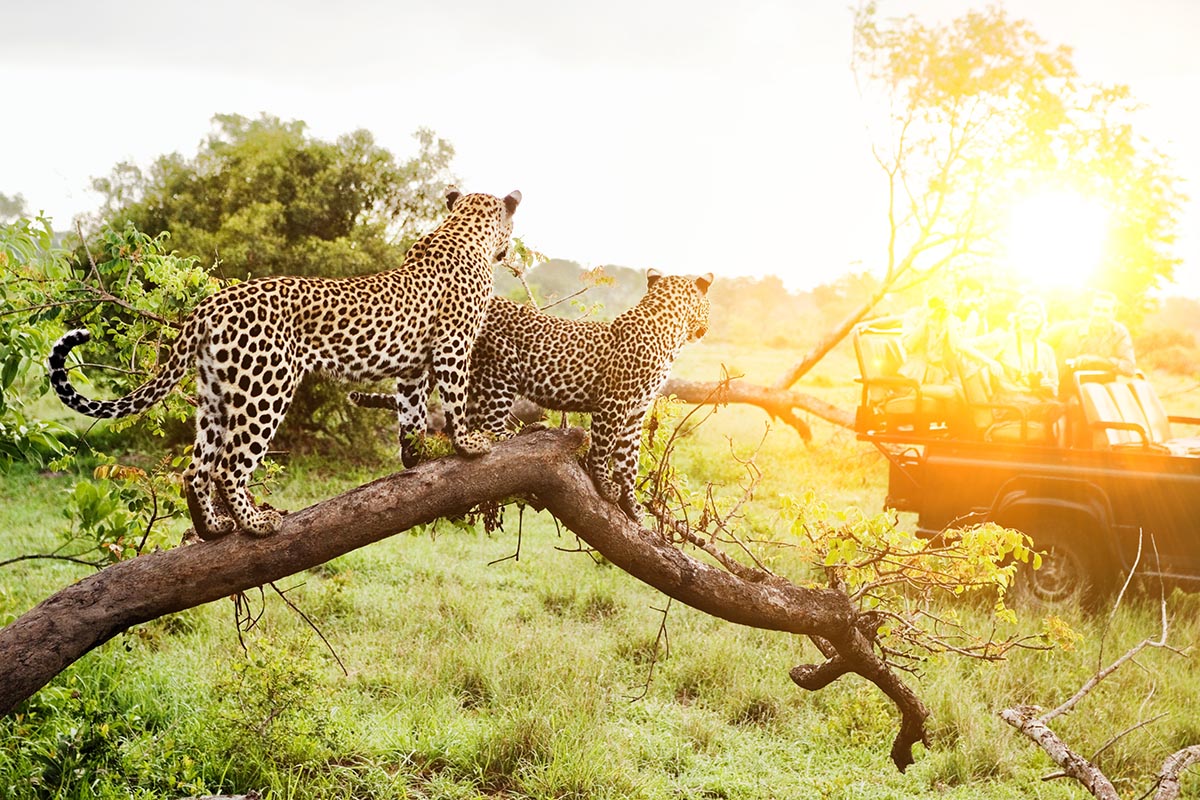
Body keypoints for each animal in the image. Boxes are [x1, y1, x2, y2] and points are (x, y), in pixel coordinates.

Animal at [49, 188, 523, 537]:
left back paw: (213, 528)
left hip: (217, 395)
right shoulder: (453, 345)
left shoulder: (411, 367)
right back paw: (257, 524)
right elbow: (455, 399)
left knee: (196, 469)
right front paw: (469, 444)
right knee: (228, 466)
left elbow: (412, 413)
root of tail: (208, 305)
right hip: (265, 388)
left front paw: (416, 457)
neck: (462, 230)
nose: (509, 250)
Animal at [348, 268, 705, 520]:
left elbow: (629, 460)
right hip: (500, 370)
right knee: (488, 428)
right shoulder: (613, 405)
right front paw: (604, 485)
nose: (705, 329)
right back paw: (525, 431)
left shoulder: (635, 414)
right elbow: (603, 450)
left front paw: (632, 505)